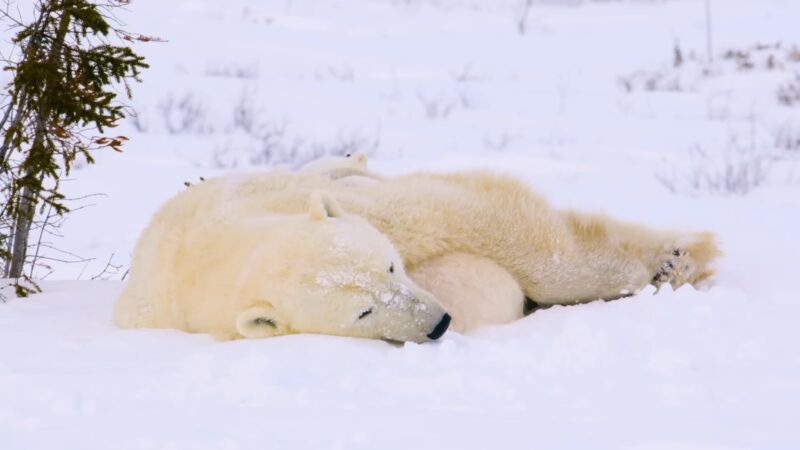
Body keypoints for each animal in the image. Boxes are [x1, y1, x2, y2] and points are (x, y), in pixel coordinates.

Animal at [114, 163, 720, 342]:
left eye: (390, 265)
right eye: (363, 311)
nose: (439, 323)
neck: (201, 261)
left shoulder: (298, 198)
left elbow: (472, 217)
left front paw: (674, 262)